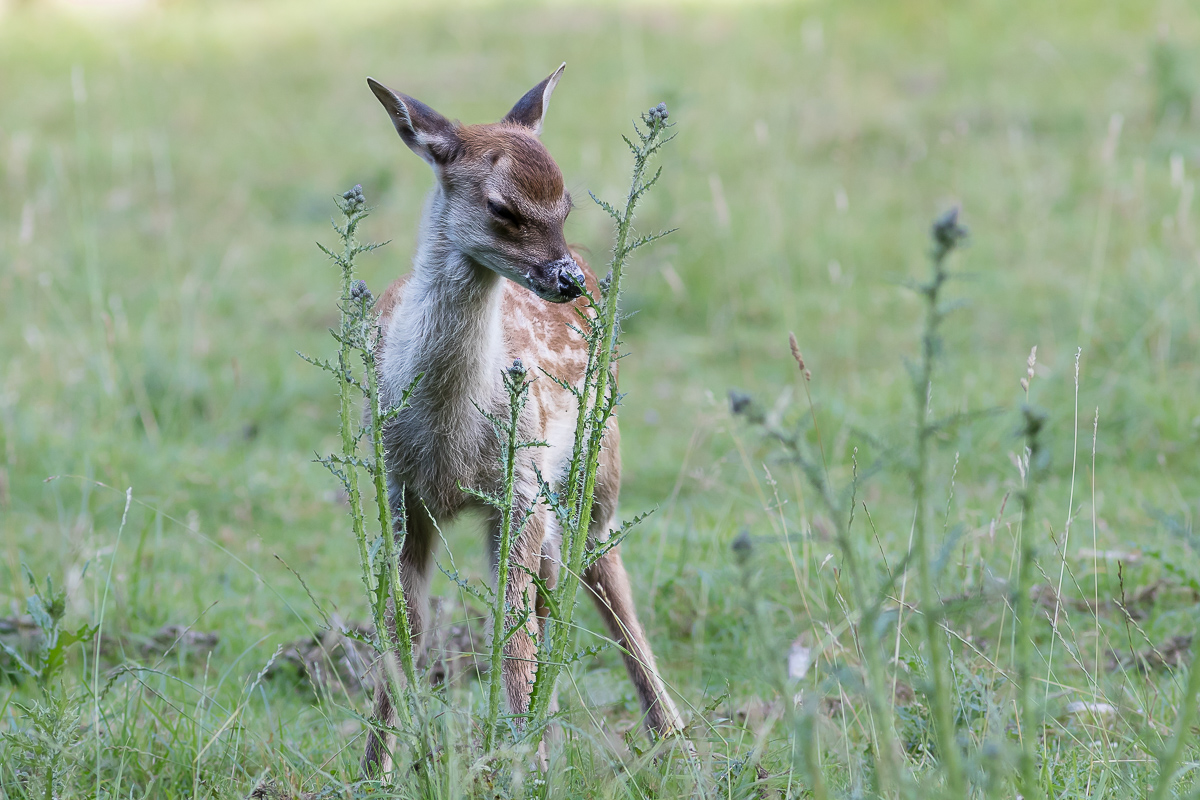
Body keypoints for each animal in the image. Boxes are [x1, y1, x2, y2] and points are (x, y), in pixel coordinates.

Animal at [360, 64, 686, 777]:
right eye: (502, 208)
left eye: (564, 205)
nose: (566, 280)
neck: (449, 436)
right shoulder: (399, 492)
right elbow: (403, 629)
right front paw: (373, 768)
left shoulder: (519, 487)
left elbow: (513, 635)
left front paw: (521, 763)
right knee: (552, 587)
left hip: (596, 461)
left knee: (599, 575)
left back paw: (672, 737)